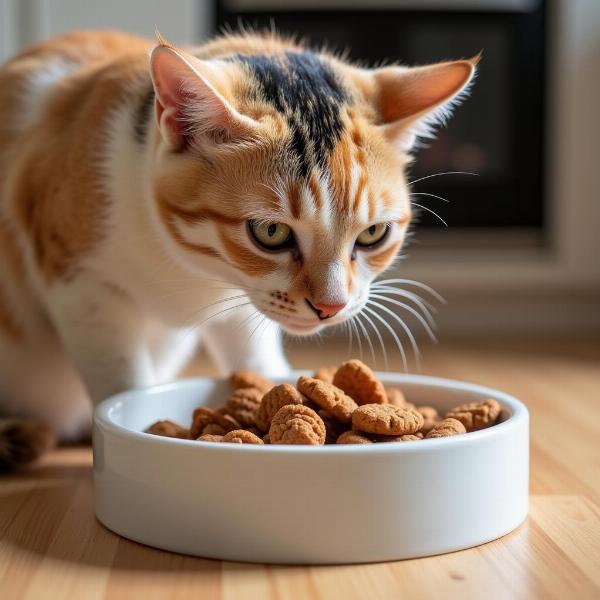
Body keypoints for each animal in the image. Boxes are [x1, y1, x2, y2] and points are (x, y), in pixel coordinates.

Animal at [0, 29, 478, 468]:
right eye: (270, 232)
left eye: (373, 233)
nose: (330, 306)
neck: (197, 271)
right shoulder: (80, 284)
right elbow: (120, 372)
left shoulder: (243, 306)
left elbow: (253, 352)